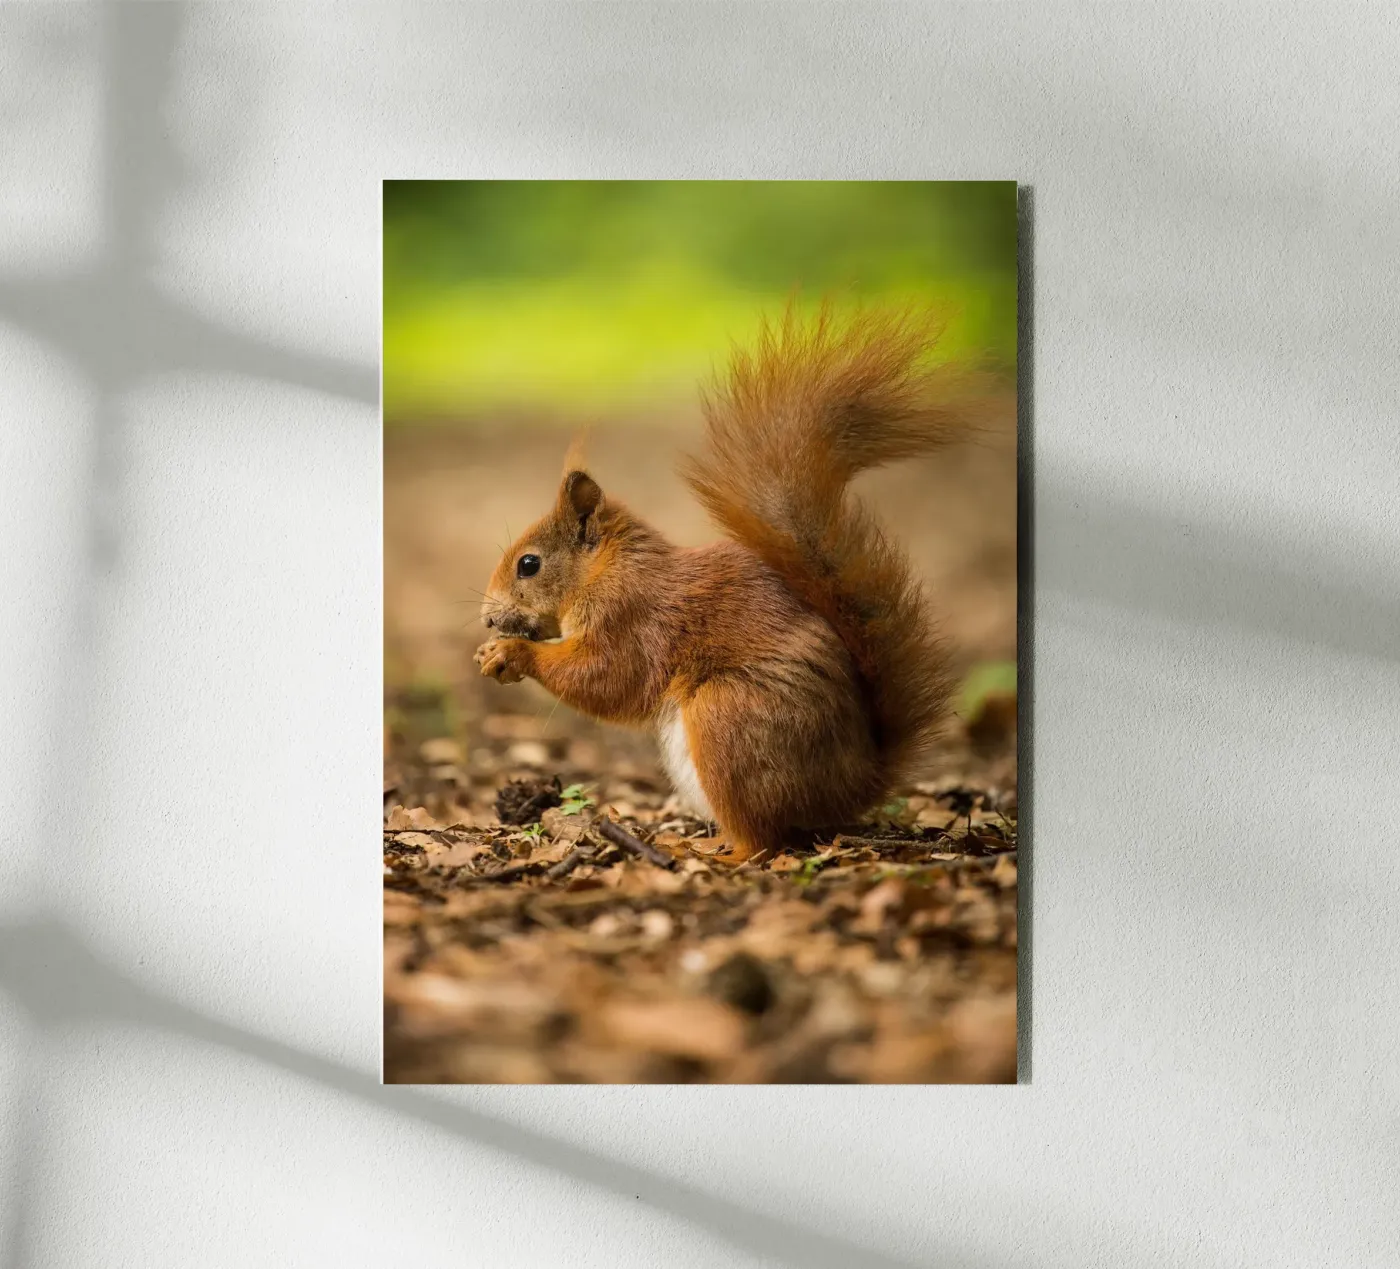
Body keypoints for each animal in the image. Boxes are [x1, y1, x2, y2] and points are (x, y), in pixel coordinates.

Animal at [475, 306, 990, 863]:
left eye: (528, 564)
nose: (486, 617)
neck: (606, 570)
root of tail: (852, 786)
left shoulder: (632, 617)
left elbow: (606, 677)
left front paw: (511, 653)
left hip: (729, 718)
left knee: (762, 841)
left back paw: (703, 851)